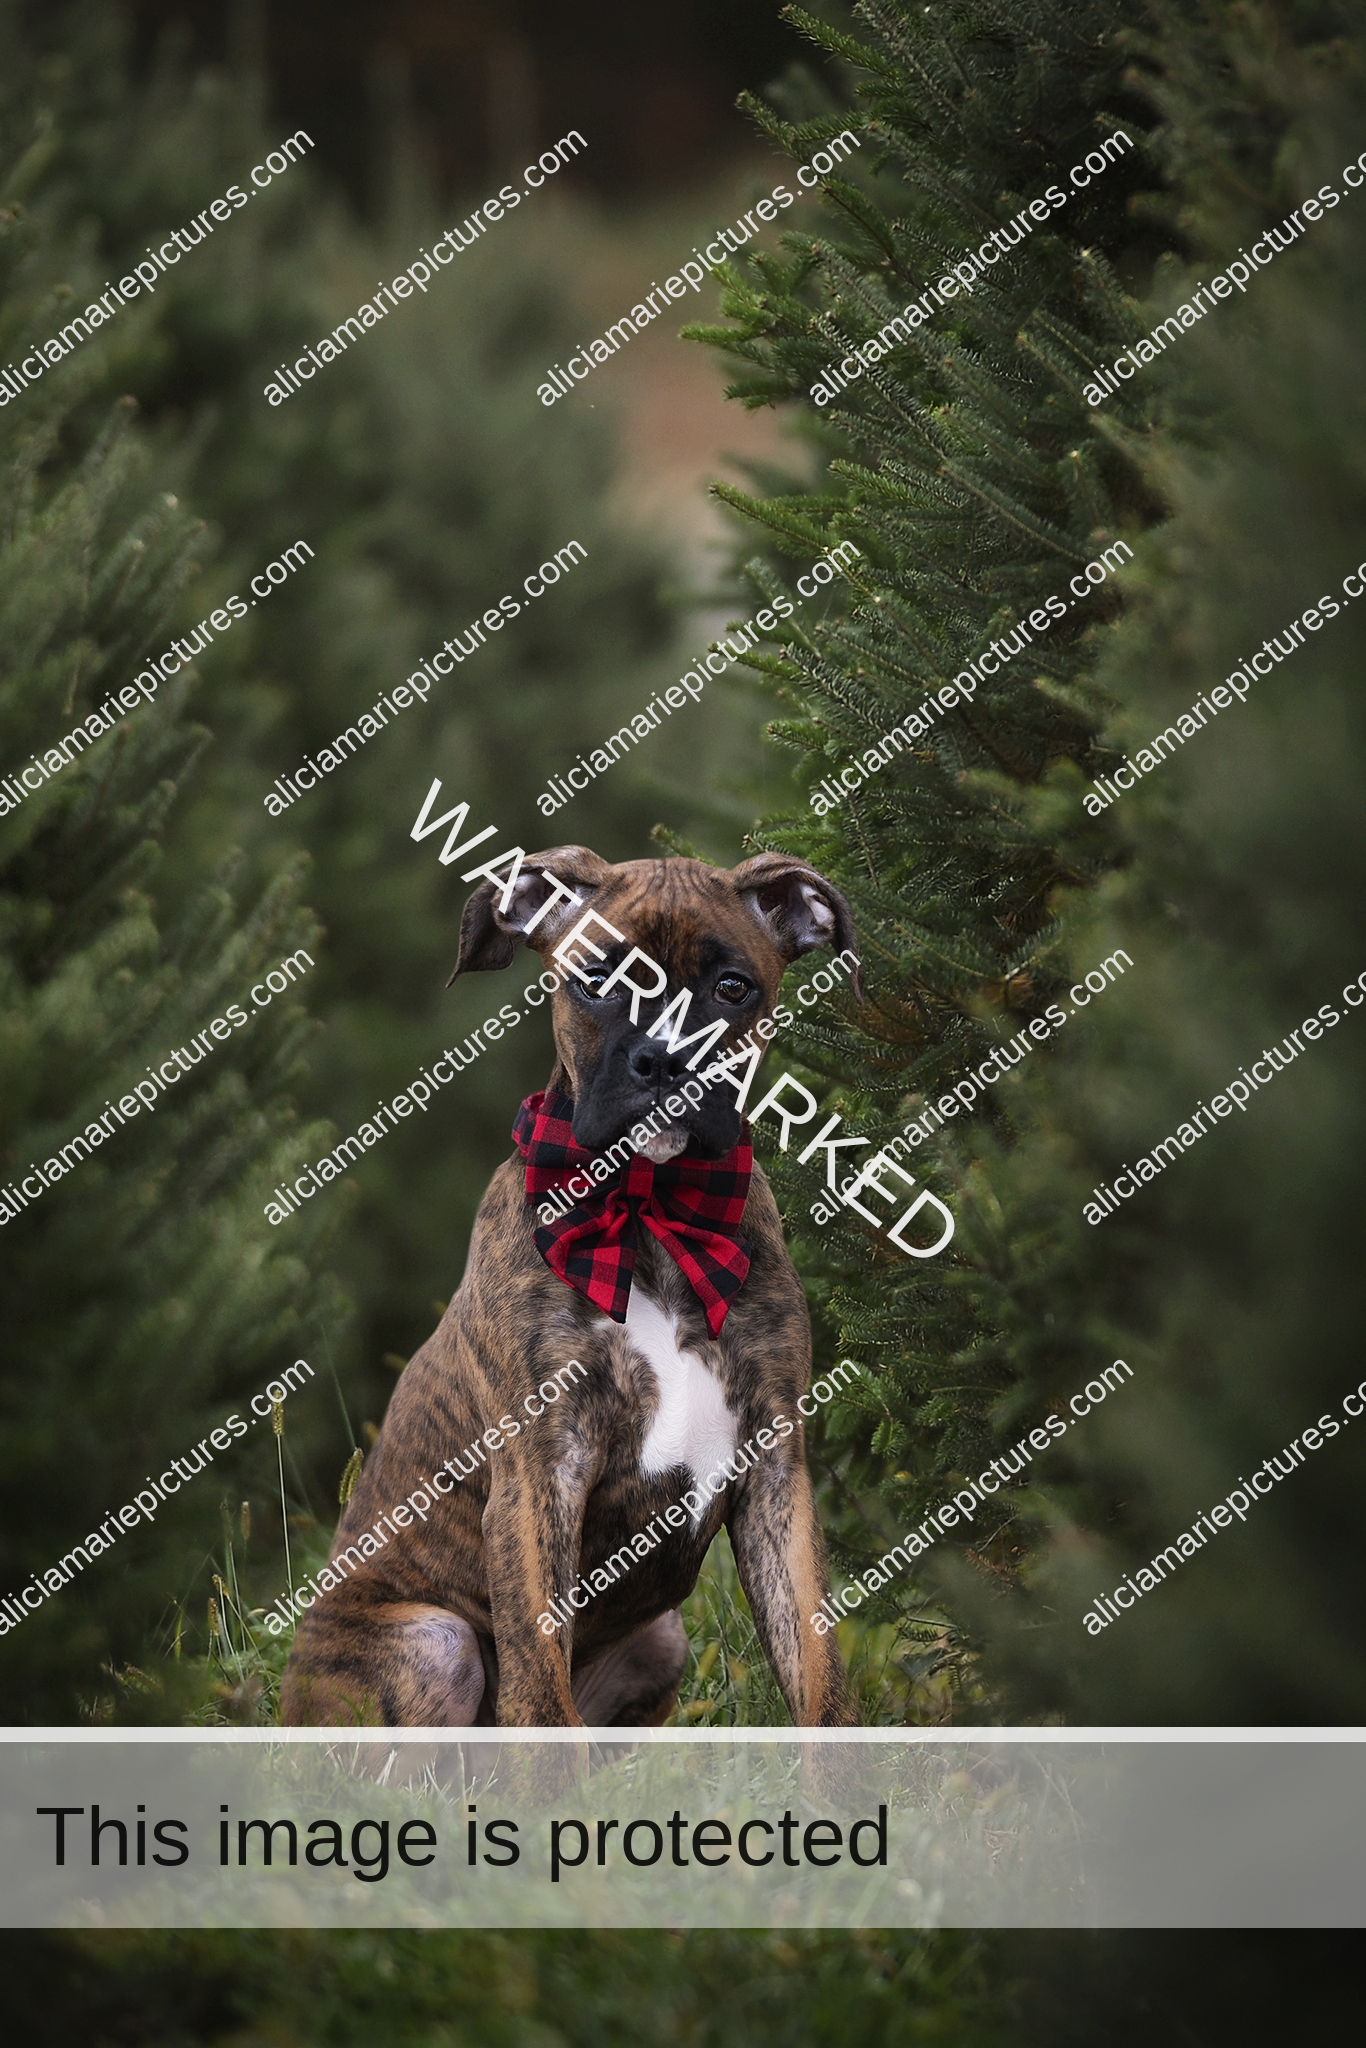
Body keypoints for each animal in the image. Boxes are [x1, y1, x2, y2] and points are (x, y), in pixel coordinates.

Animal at [284, 847, 864, 1728]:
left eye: (733, 988)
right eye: (596, 981)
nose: (662, 1059)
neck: (651, 1208)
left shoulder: (775, 1475)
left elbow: (822, 1684)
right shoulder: (538, 1477)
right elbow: (541, 1702)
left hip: (663, 1641)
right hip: (431, 1639)